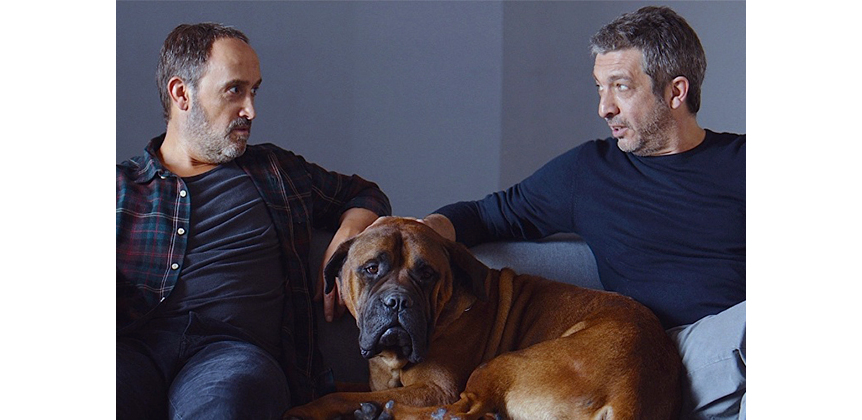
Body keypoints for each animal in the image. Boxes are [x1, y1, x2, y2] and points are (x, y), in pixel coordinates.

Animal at [285, 217, 681, 419]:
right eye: (371, 268)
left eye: (426, 273)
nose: (397, 302)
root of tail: (630, 390)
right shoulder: (375, 382)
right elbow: (342, 386)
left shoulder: (436, 388)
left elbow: (339, 397)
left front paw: (306, 409)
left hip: (503, 363)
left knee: (462, 409)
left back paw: (384, 413)